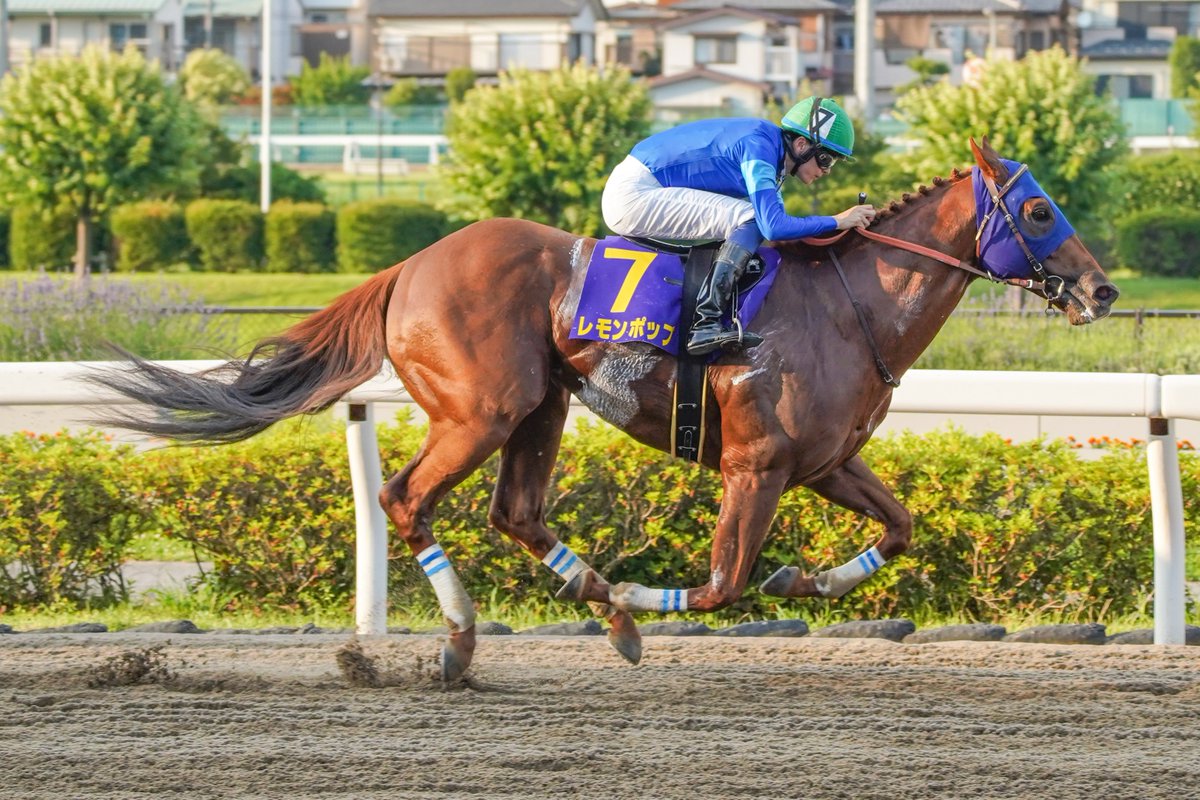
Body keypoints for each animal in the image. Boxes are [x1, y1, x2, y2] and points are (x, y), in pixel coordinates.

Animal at [91, 138, 1118, 681]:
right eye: (1037, 213)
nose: (1102, 290)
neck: (849, 302)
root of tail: (408, 266)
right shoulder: (757, 465)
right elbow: (722, 585)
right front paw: (644, 597)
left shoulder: (826, 461)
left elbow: (900, 530)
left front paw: (807, 581)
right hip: (483, 410)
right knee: (406, 499)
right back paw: (464, 641)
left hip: (540, 408)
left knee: (516, 512)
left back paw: (594, 613)